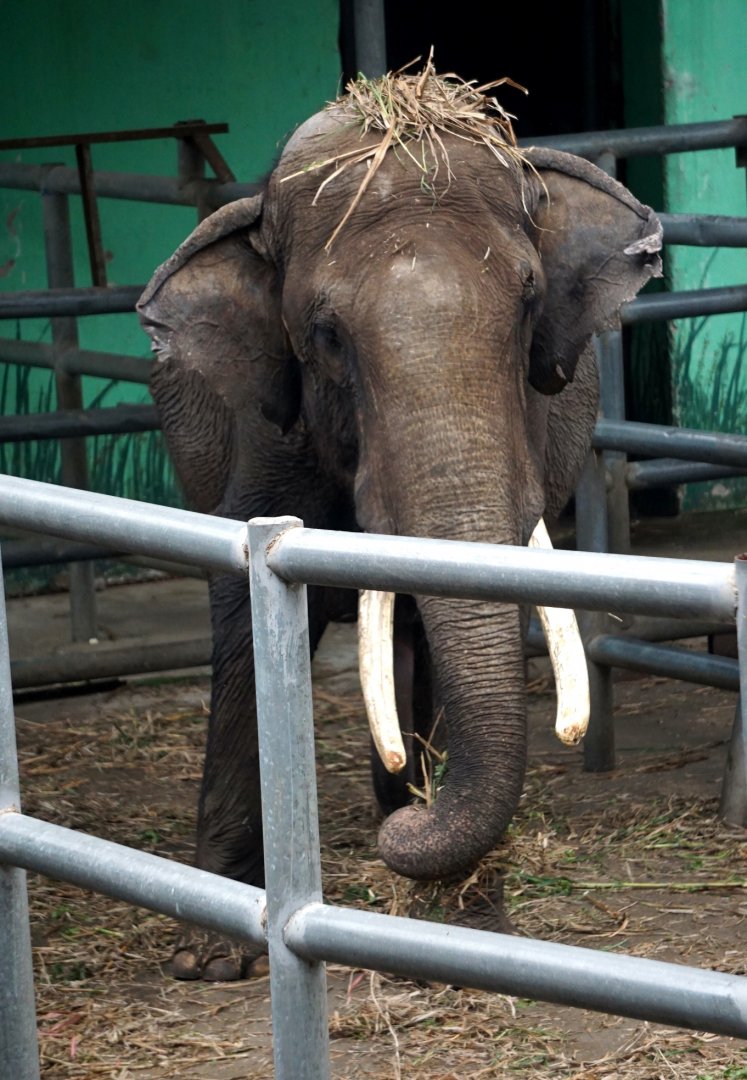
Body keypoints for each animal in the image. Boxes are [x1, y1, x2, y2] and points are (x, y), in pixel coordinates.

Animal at [138, 69, 661, 980]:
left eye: (529, 302)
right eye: (324, 335)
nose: (409, 833)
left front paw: (463, 916)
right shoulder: (264, 436)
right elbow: (242, 624)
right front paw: (207, 958)